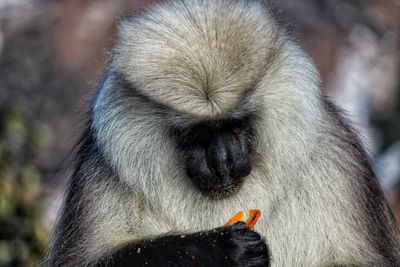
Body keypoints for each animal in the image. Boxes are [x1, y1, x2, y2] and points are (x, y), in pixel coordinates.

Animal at [43, 0, 400, 266]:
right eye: (194, 135)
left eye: (236, 125)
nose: (222, 163)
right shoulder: (102, 169)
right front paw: (220, 249)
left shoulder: (337, 154)